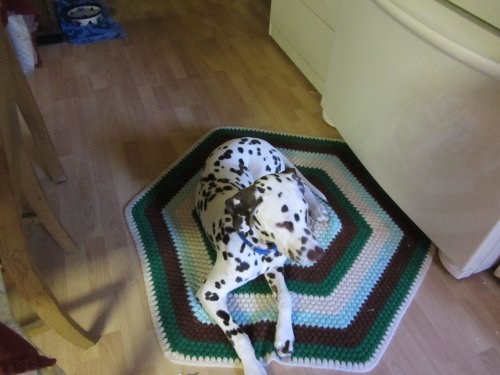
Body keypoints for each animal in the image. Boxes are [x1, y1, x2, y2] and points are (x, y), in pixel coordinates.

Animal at [194, 138, 328, 375]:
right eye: (283, 223)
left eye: (302, 215)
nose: (318, 254)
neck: (258, 250)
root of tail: (257, 139)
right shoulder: (209, 293)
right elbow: (238, 334)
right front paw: (253, 366)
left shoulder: (275, 270)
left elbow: (286, 298)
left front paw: (285, 336)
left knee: (304, 187)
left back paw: (318, 208)